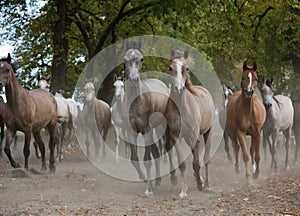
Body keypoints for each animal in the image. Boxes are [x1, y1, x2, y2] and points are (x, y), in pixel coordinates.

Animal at [120, 41, 170, 196]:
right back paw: (157, 180)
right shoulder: (131, 132)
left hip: (160, 128)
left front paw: (148, 189)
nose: (134, 80)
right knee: (156, 152)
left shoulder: (146, 130)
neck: (137, 101)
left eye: (141, 59)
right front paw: (145, 180)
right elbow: (134, 159)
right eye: (125, 59)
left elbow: (147, 159)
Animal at [164, 47, 216, 197]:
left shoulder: (194, 137)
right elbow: (182, 164)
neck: (182, 108)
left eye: (186, 68)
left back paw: (207, 184)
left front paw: (200, 184)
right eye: (170, 67)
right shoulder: (176, 137)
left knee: (206, 158)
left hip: (208, 133)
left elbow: (196, 163)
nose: (179, 89)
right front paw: (183, 191)